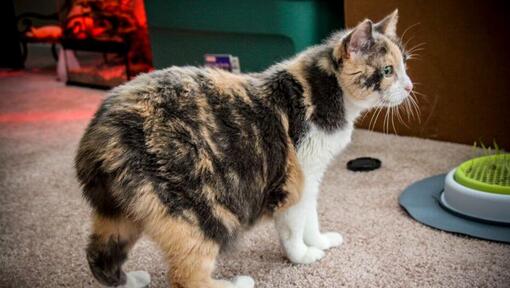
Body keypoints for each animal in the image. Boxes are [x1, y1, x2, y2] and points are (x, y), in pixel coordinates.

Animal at [74, 9, 410, 288]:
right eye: (388, 70)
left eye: (405, 65)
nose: (409, 86)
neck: (327, 93)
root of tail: (98, 131)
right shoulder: (297, 178)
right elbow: (294, 225)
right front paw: (303, 256)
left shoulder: (313, 178)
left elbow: (311, 216)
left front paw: (319, 241)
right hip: (198, 212)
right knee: (186, 278)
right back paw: (237, 283)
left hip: (118, 212)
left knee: (99, 255)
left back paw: (131, 280)